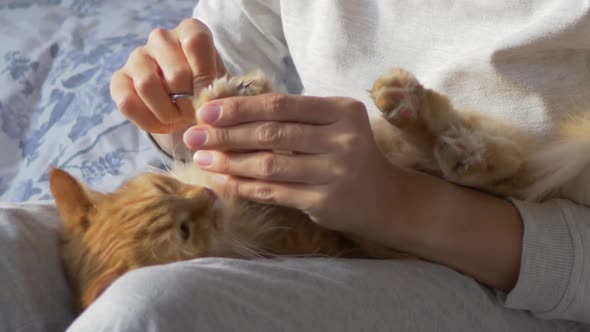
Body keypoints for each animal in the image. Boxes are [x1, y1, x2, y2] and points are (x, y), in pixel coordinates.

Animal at [51, 68, 590, 310]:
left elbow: (210, 120)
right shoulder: (300, 234)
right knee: (500, 167)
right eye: (183, 233)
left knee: (489, 152)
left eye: (165, 182)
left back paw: (410, 105)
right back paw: (449, 142)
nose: (205, 199)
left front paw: (227, 94)